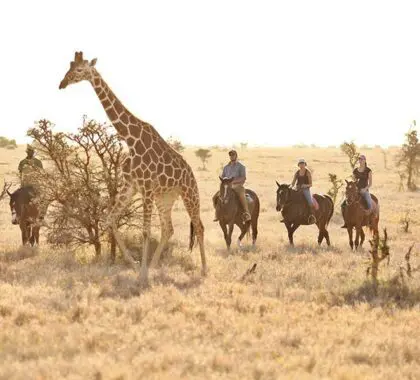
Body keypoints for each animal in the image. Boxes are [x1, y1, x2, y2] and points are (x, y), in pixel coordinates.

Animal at [58, 51, 207, 284]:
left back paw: (204, 270)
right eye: (69, 67)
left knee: (198, 226)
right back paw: (154, 267)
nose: (62, 84)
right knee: (168, 229)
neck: (130, 139)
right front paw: (136, 266)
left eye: (80, 70)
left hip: (189, 193)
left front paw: (142, 275)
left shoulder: (145, 187)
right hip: (165, 197)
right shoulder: (131, 185)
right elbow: (110, 219)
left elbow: (145, 231)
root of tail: (191, 173)